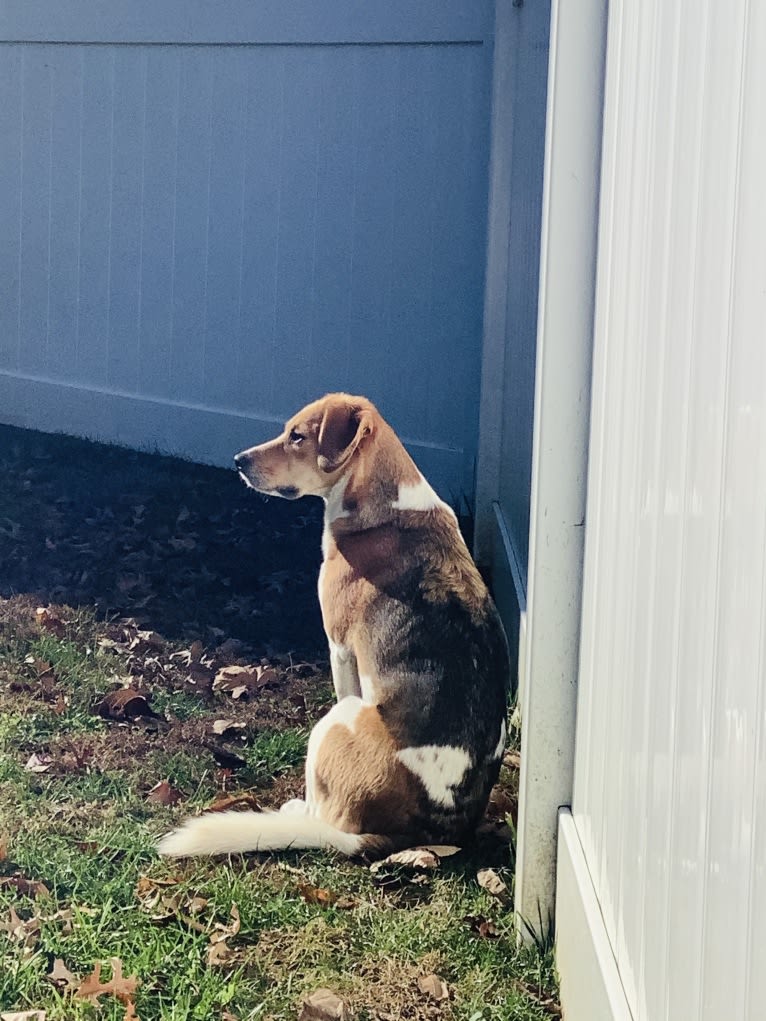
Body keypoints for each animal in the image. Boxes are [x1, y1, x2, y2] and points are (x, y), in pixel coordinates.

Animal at [159, 394, 510, 857]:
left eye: (297, 436)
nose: (238, 461)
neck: (384, 505)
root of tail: (425, 831)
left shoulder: (340, 649)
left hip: (337, 721)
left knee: (323, 814)